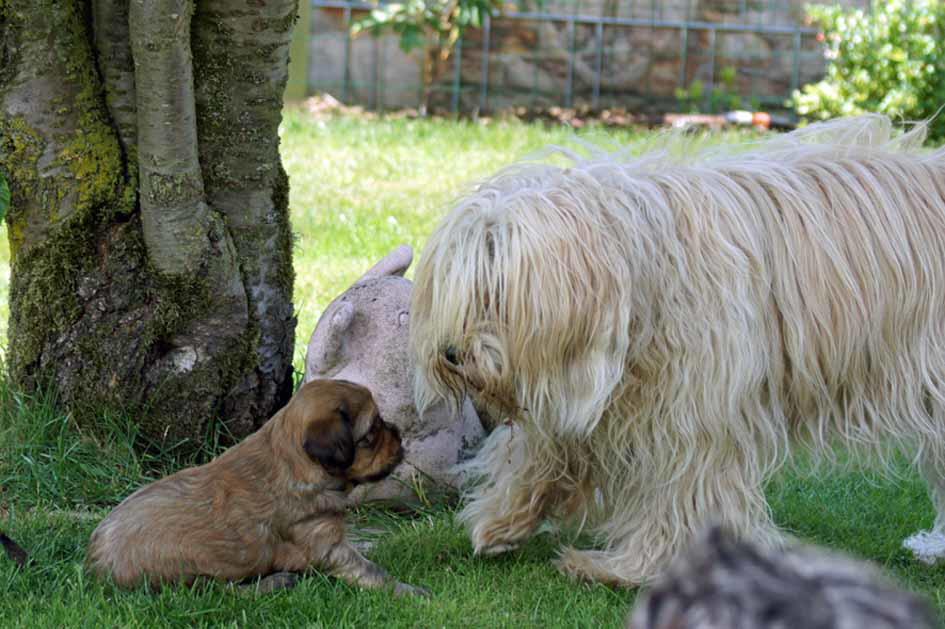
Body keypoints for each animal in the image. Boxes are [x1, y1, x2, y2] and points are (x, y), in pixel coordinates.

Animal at [85, 378, 424, 592]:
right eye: (372, 432)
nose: (399, 436)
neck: (294, 461)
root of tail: (95, 565)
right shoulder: (324, 542)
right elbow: (370, 570)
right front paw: (411, 592)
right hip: (188, 568)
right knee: (218, 592)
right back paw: (276, 582)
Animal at [412, 115, 945, 588]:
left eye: (497, 294)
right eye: (459, 293)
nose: (452, 353)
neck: (639, 273)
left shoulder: (694, 412)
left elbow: (682, 493)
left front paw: (624, 568)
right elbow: (547, 445)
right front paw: (503, 519)